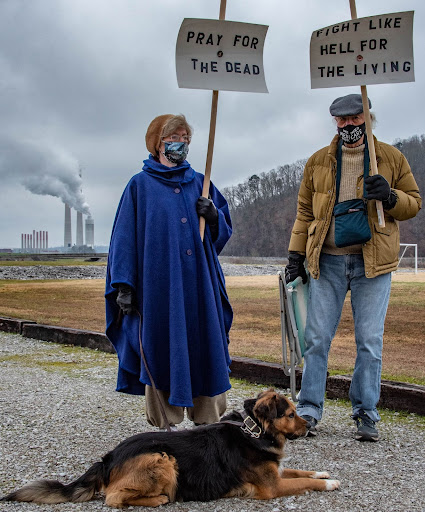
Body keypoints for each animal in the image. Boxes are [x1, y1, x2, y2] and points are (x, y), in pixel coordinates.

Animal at [0, 390, 338, 506]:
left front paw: (324, 473)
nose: (308, 427)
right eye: (290, 414)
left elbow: (302, 471)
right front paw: (330, 483)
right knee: (113, 498)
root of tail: (108, 459)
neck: (253, 431)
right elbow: (303, 482)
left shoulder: (276, 472)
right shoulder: (273, 486)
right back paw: (160, 498)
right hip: (162, 457)